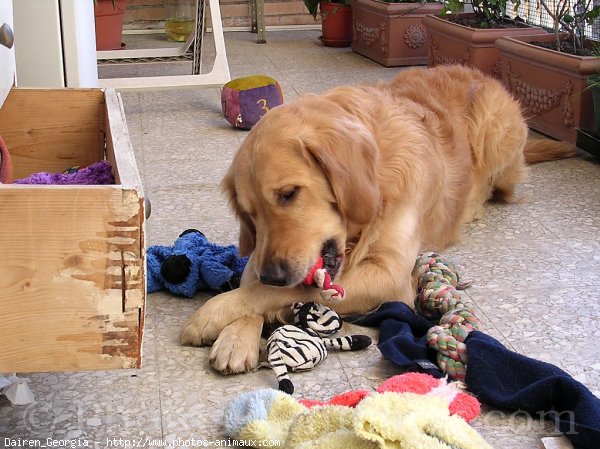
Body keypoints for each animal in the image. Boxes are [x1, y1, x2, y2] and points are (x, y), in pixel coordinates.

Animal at [180, 65, 576, 374]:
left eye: (289, 193)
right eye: (249, 215)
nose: (274, 274)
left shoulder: (390, 275)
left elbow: (284, 289)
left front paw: (213, 314)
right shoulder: (263, 255)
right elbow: (253, 280)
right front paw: (236, 336)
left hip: (496, 136)